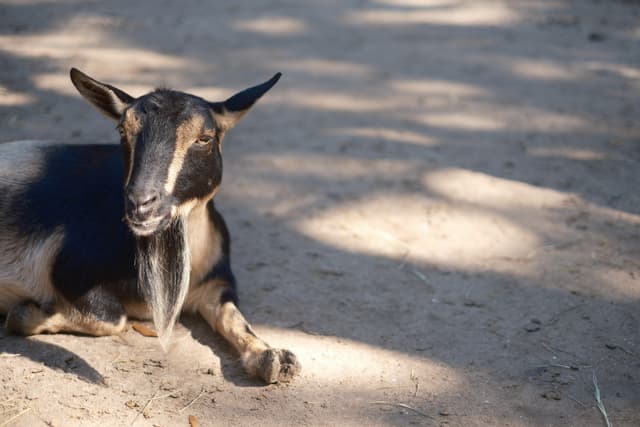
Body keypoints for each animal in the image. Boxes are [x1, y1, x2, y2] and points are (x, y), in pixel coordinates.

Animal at [0, 69, 300, 384]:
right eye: (123, 131)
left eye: (205, 138)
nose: (141, 203)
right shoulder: (66, 265)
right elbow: (113, 318)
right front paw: (24, 315)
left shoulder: (214, 285)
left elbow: (234, 318)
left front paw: (273, 358)